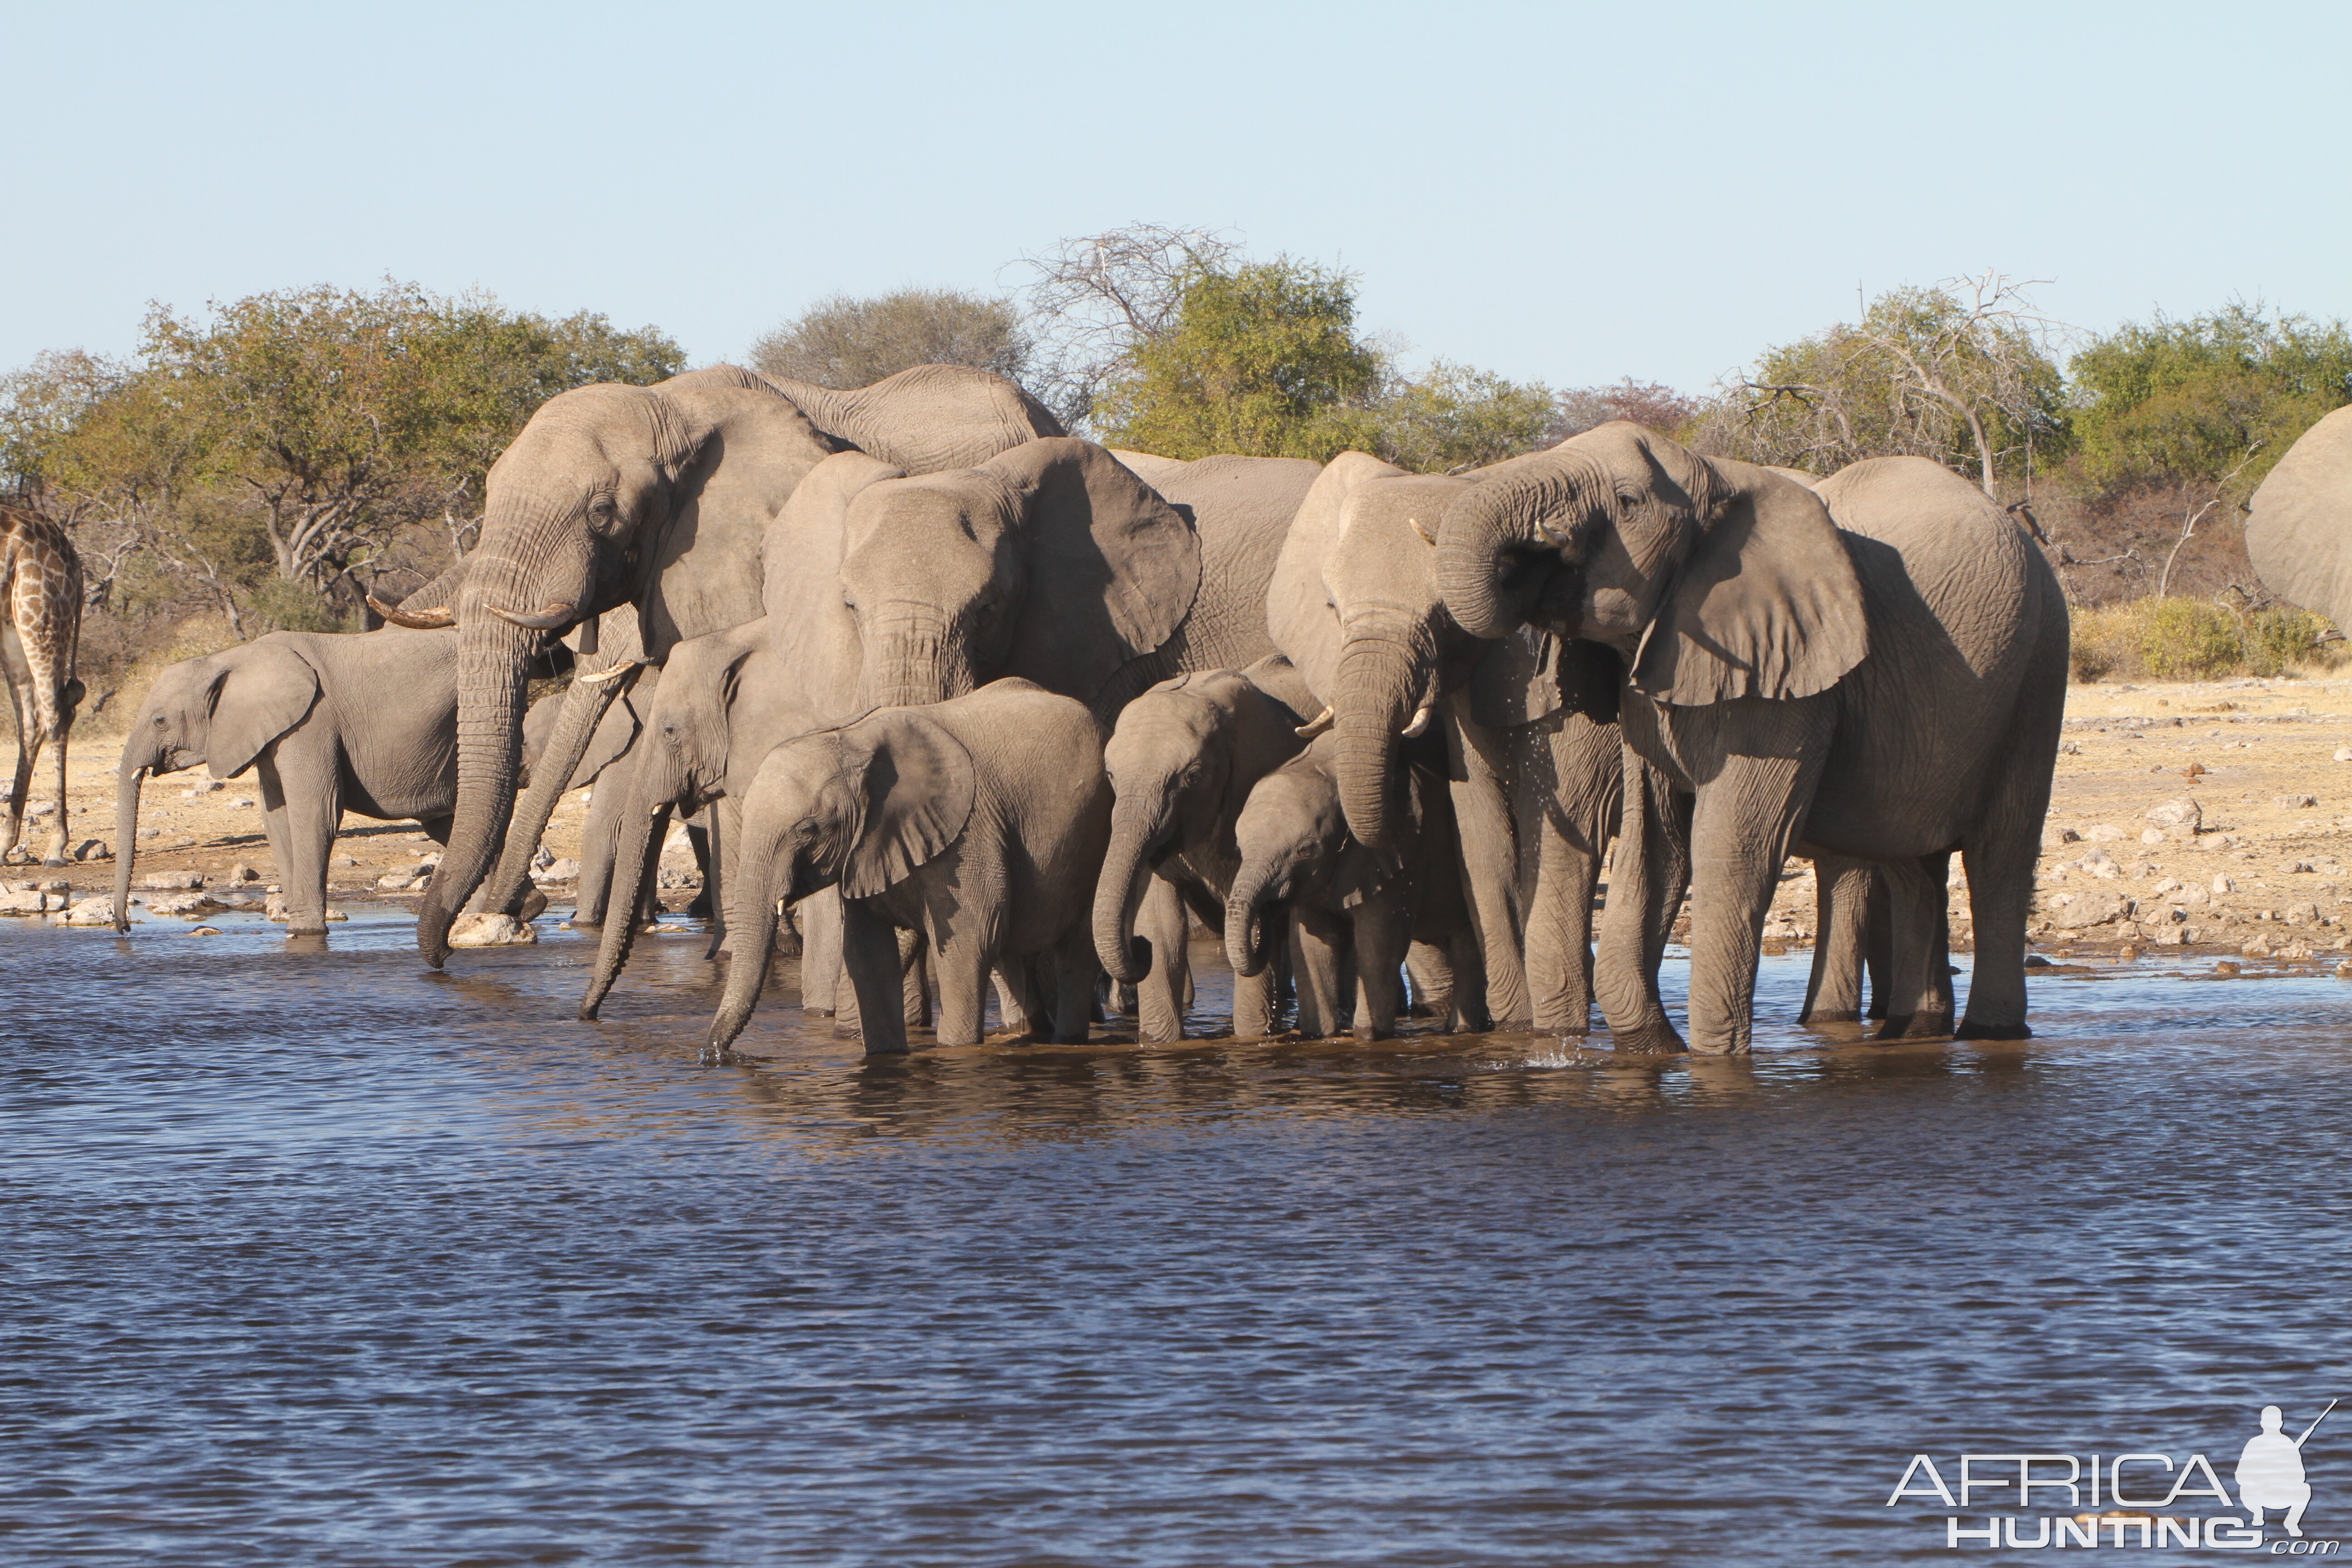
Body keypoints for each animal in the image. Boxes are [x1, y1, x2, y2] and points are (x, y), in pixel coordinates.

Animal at [706, 677, 1110, 1053]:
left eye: (808, 830)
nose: (713, 1055)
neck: (852, 740)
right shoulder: (866, 849)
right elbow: (868, 956)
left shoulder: (969, 833)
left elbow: (970, 942)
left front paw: (956, 1051)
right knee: (1011, 956)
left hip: (1094, 840)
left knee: (1075, 949)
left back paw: (1067, 1040)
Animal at [1430, 432, 2060, 1053]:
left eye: (1628, 502)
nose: (1526, 562)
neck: (1717, 475)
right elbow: (1655, 844)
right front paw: (1655, 1046)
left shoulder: (1783, 675)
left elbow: (1732, 843)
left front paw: (1714, 1058)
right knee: (1911, 858)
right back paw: (1912, 1031)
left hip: (2036, 674)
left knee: (1998, 856)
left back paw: (1990, 1034)